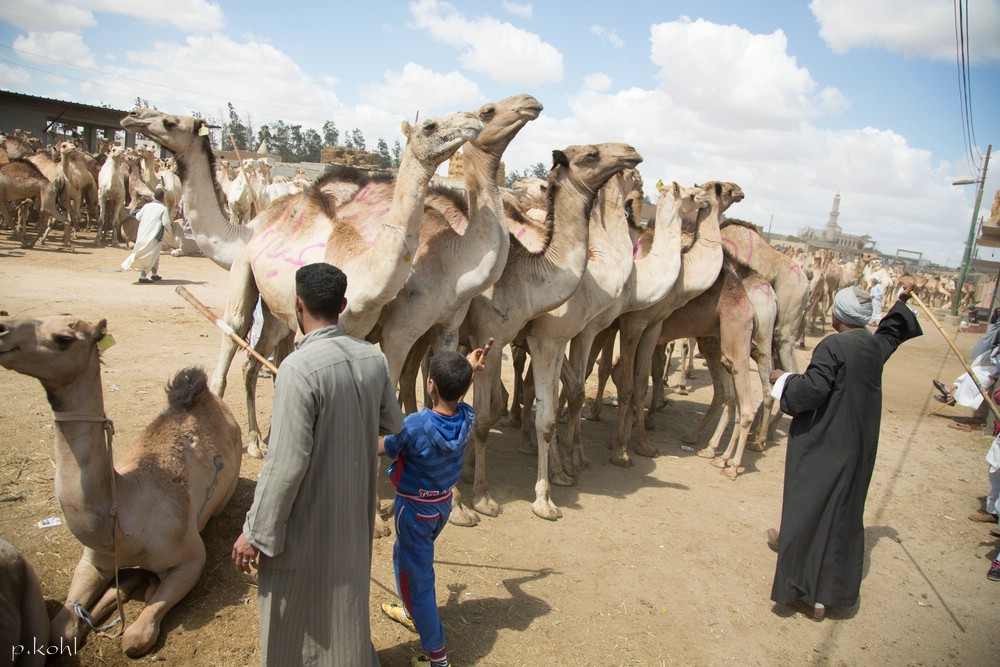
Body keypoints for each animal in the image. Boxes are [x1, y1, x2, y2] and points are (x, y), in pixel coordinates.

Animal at [458, 144, 644, 524]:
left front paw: (553, 486)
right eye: (591, 154)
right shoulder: (541, 337)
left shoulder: (558, 339)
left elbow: (552, 408)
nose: (631, 153)